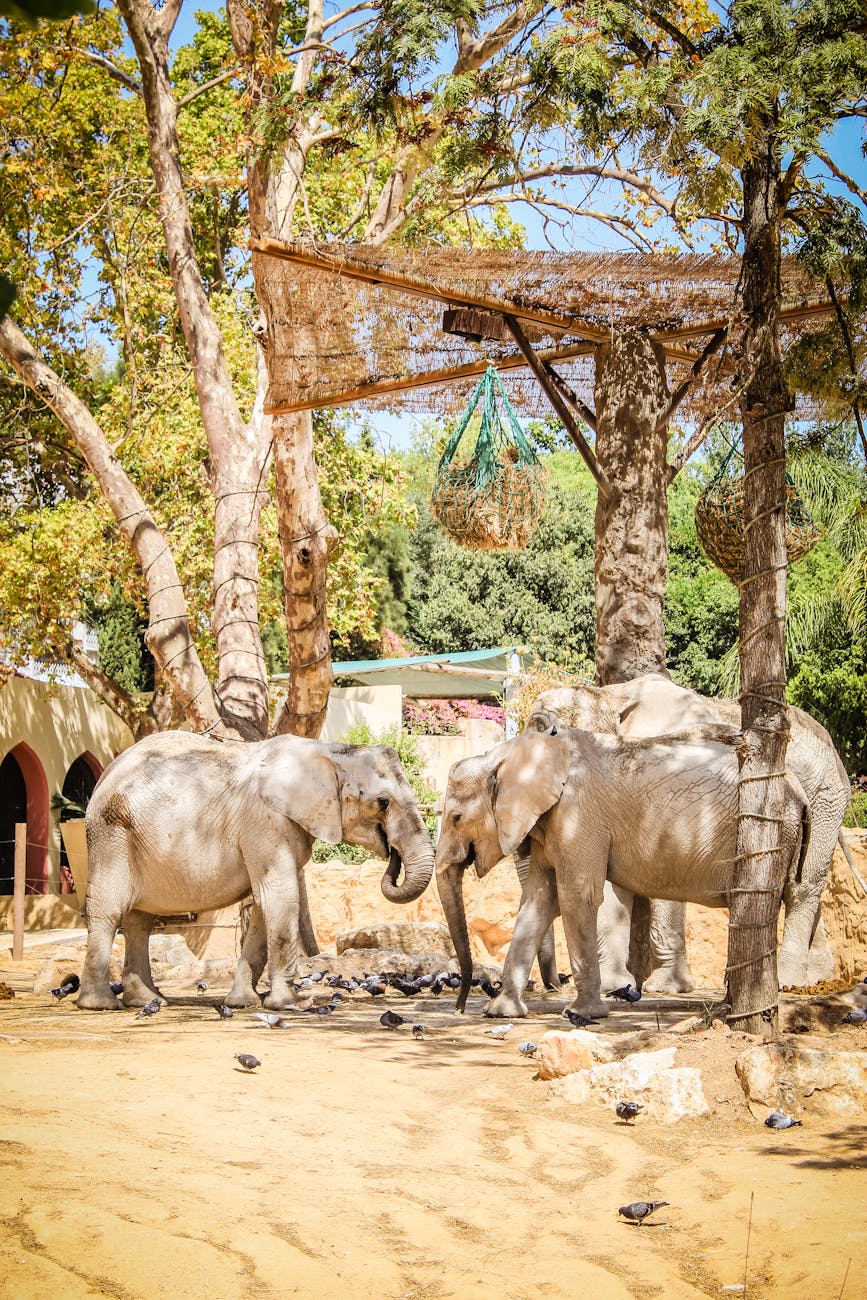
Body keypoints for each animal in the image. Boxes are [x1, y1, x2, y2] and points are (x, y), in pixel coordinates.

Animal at [79, 730, 434, 1010]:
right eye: (383, 803)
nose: (392, 854)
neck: (329, 751)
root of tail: (106, 774)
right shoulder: (265, 821)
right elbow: (281, 897)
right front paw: (287, 1004)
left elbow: (265, 906)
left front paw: (242, 1003)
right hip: (110, 834)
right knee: (109, 911)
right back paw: (101, 1005)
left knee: (140, 919)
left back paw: (149, 1000)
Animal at [435, 727, 809, 1018]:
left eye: (456, 818)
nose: (459, 1008)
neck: (510, 754)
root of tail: (797, 788)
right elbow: (538, 901)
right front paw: (500, 1013)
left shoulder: (578, 815)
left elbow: (576, 896)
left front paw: (581, 1014)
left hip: (770, 831)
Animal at [528, 674, 850, 990]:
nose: (559, 983)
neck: (610, 695)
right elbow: (613, 885)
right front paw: (615, 987)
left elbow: (660, 871)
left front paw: (664, 988)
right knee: (799, 883)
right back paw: (817, 978)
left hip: (825, 797)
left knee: (802, 886)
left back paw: (788, 982)